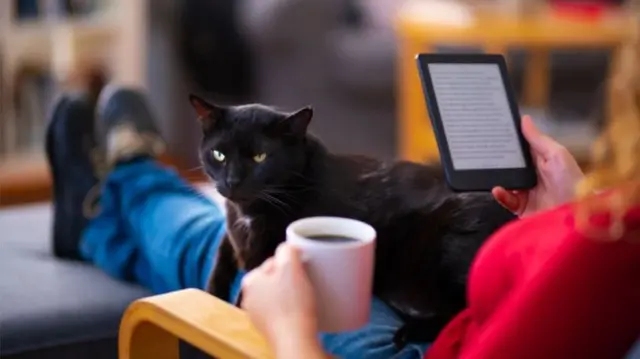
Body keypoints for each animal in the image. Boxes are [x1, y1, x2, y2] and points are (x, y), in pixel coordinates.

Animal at [189, 94, 516, 342]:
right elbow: (220, 260)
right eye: (218, 155)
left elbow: (250, 287)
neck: (249, 212)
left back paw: (408, 332)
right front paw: (212, 294)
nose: (232, 181)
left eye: (260, 157)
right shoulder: (232, 232)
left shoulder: (269, 256)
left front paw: (236, 308)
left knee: (467, 314)